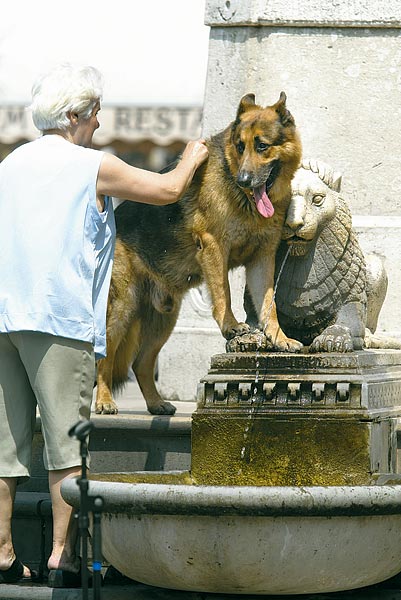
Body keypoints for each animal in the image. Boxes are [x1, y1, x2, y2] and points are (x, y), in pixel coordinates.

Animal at [97, 91, 302, 414]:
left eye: (262, 146)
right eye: (240, 146)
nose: (244, 180)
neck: (240, 194)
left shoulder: (262, 260)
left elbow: (268, 304)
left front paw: (279, 338)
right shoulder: (213, 246)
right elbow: (223, 292)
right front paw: (232, 327)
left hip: (163, 320)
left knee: (141, 364)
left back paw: (156, 403)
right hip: (122, 308)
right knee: (104, 358)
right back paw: (104, 401)